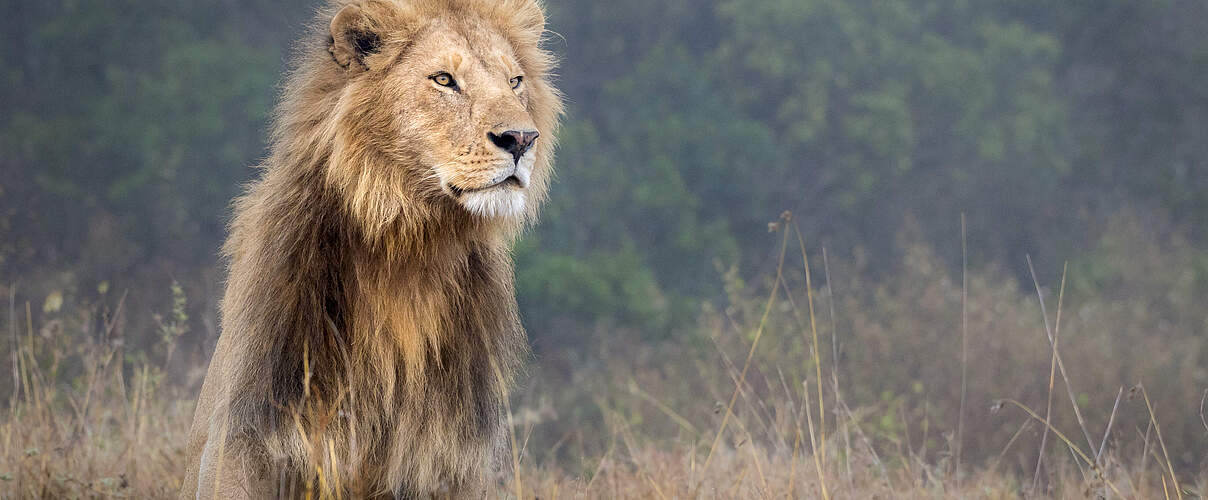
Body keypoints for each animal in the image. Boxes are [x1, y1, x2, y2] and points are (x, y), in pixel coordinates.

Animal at [180, 0, 562, 497]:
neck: (409, 243)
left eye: (514, 81)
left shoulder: (455, 463)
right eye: (444, 79)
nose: (521, 139)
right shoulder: (246, 438)